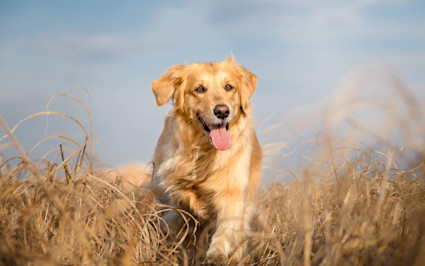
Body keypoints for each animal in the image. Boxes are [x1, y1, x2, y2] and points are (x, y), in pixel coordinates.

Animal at [149, 57, 262, 262]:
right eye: (200, 89)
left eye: (229, 87)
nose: (222, 111)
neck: (204, 152)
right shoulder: (176, 197)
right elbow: (178, 227)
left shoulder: (233, 192)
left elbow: (226, 227)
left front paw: (217, 253)